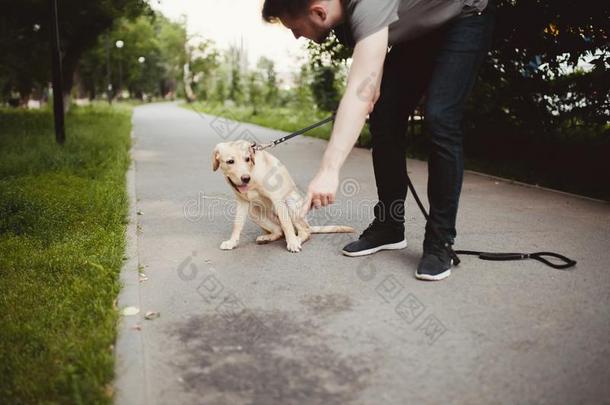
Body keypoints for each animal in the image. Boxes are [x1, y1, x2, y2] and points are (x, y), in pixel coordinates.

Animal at [211, 140, 352, 251]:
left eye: (247, 159)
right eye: (230, 161)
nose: (245, 178)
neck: (252, 172)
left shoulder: (277, 198)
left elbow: (286, 224)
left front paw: (292, 243)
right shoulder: (242, 201)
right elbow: (237, 224)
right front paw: (232, 242)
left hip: (291, 205)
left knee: (303, 231)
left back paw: (297, 239)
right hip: (254, 212)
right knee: (279, 231)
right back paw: (267, 237)